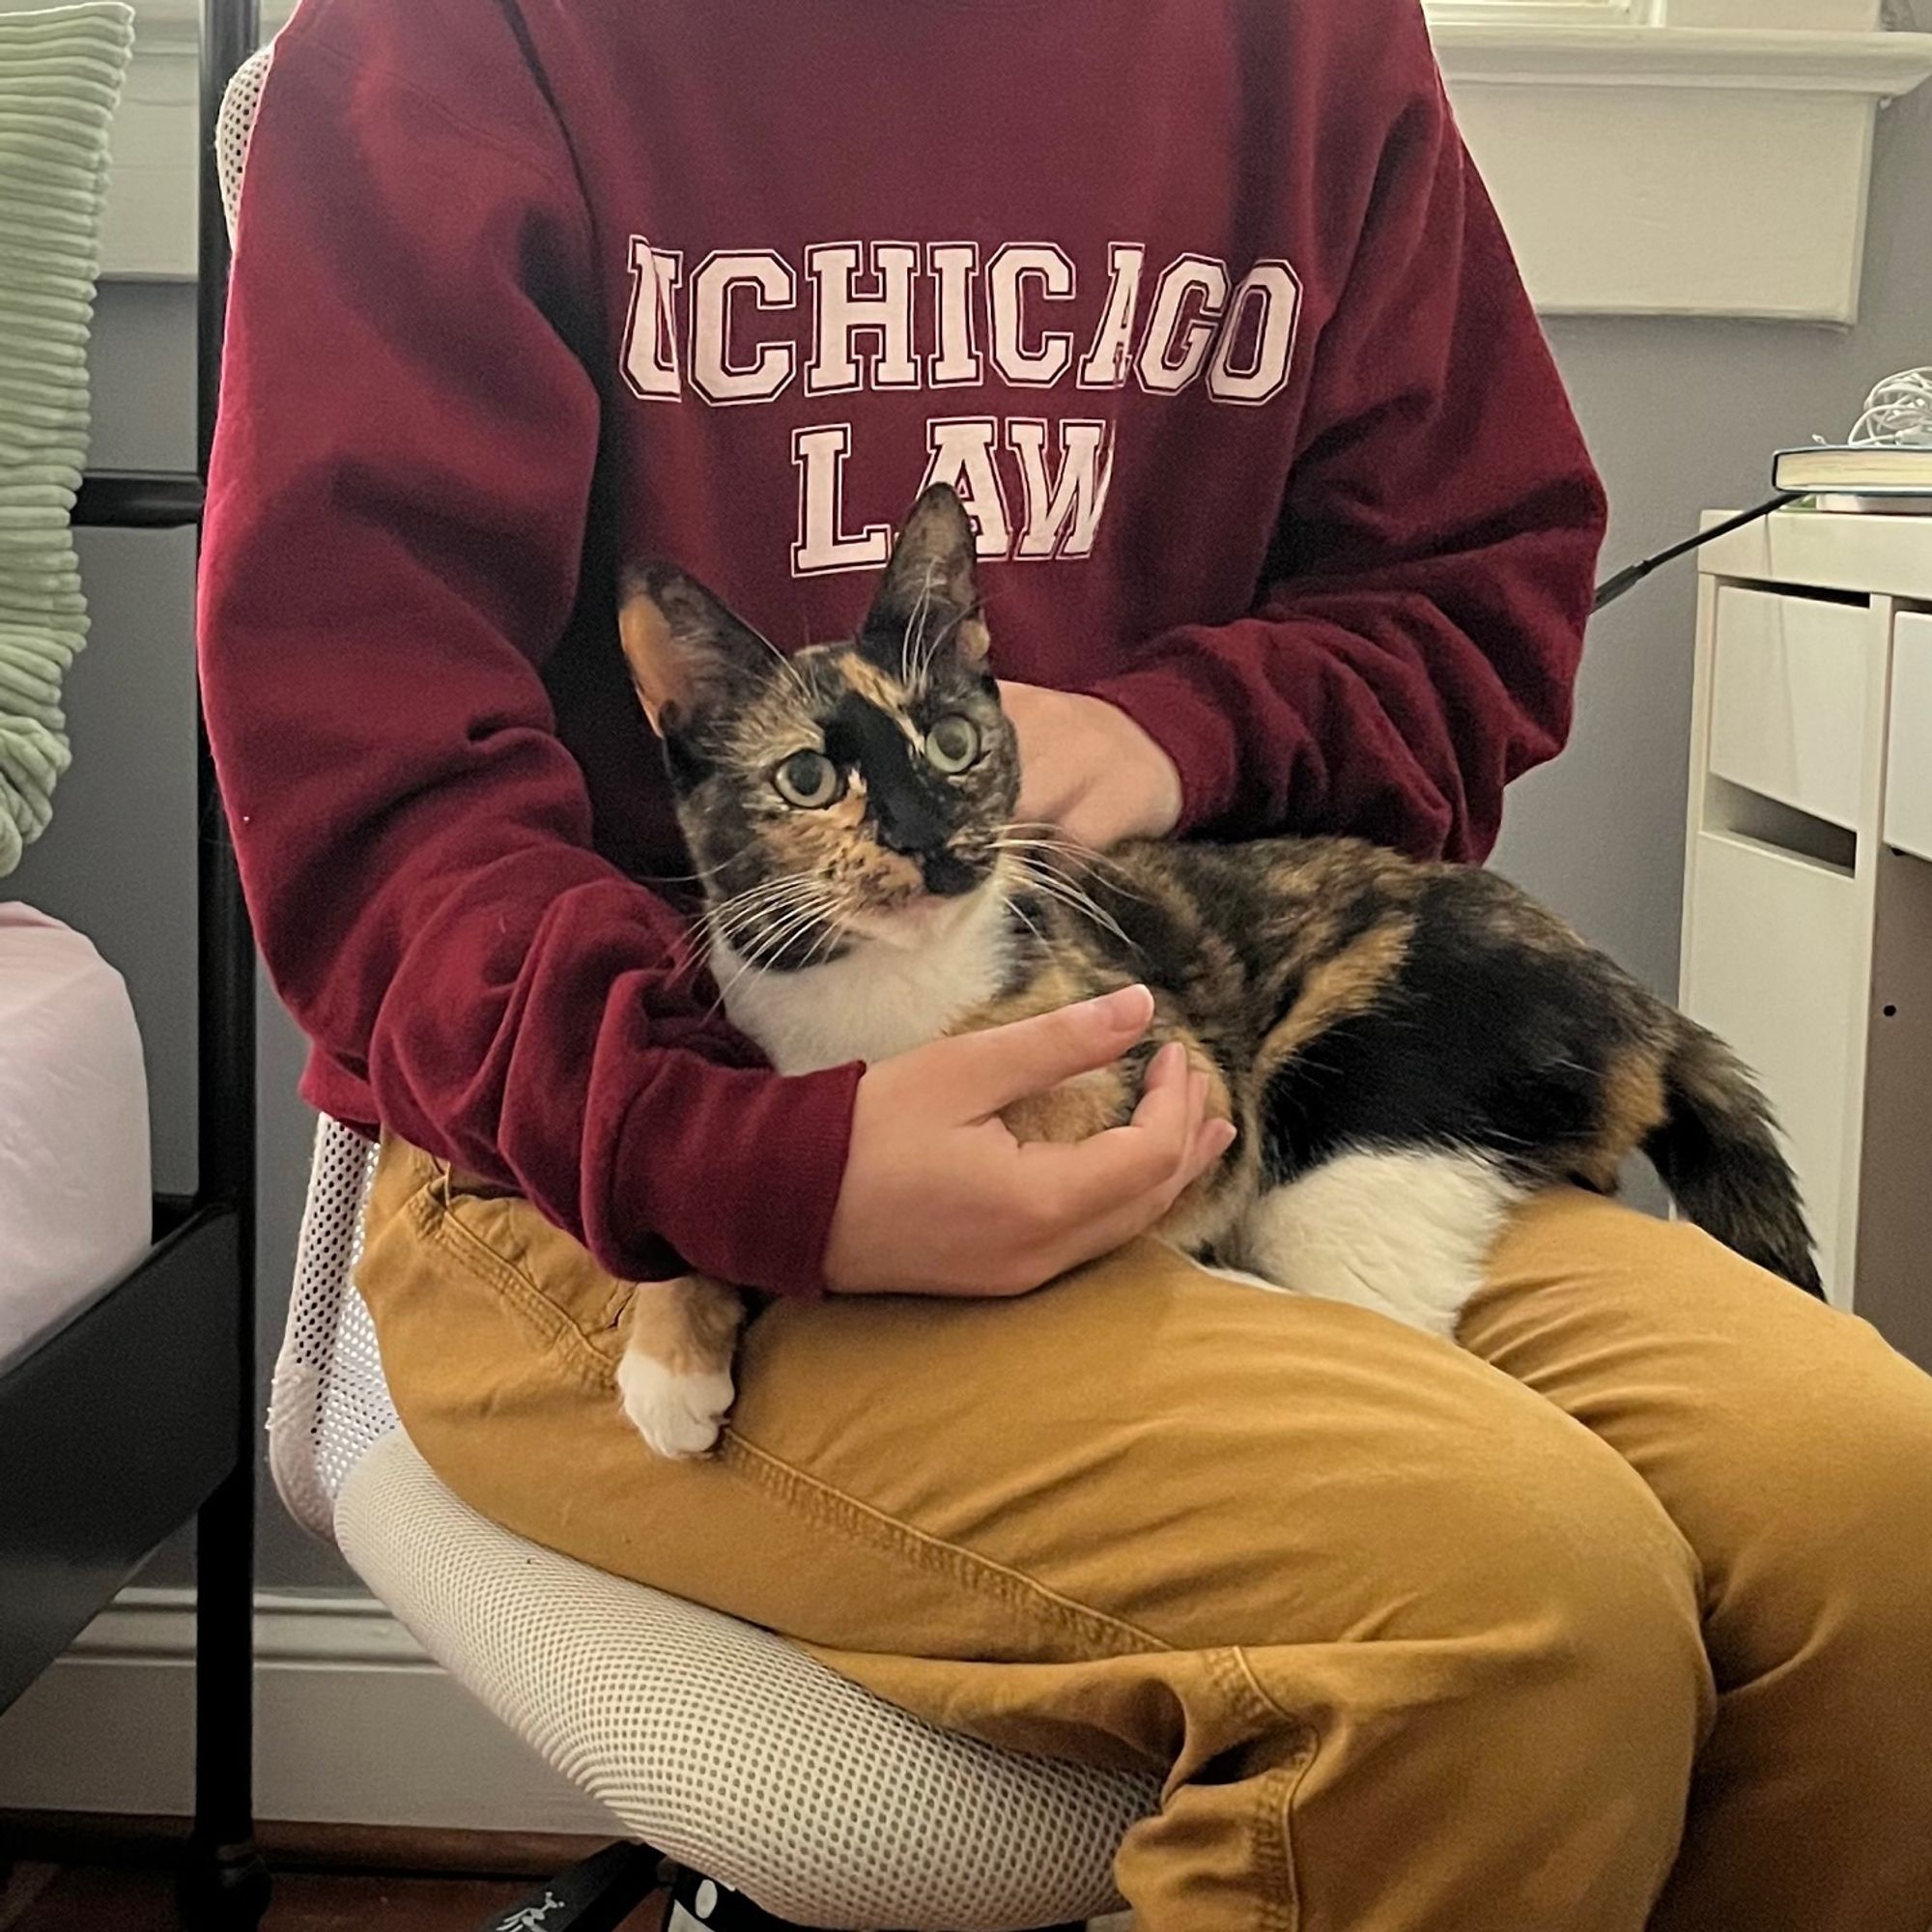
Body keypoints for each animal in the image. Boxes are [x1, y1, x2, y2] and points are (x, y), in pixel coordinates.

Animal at [611, 487, 1816, 1461]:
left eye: (952, 741)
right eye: (807, 778)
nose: (925, 838)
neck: (877, 1000)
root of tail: (1625, 992)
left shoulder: (1163, 1057)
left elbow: (1062, 1112)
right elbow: (702, 1182)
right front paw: (669, 1350)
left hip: (1365, 1089)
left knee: (1379, 1314)